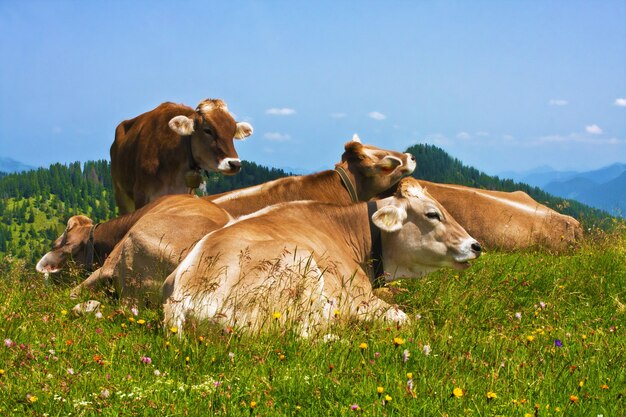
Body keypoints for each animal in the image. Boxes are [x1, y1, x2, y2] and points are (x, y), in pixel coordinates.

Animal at [161, 176, 478, 334]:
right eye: (433, 214)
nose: (476, 245)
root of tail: (185, 296)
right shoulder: (359, 299)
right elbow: (407, 319)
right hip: (299, 267)